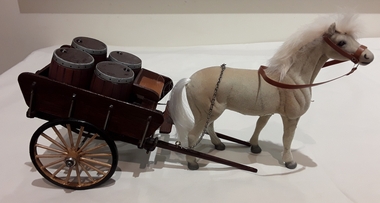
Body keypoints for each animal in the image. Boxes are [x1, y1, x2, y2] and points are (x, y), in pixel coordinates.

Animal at [169, 13, 374, 170]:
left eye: (354, 39)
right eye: (341, 42)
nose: (368, 56)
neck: (292, 78)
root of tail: (190, 80)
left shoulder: (267, 112)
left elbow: (260, 126)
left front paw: (254, 146)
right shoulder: (291, 117)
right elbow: (287, 138)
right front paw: (290, 162)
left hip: (212, 111)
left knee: (210, 127)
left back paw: (218, 144)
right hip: (206, 113)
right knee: (193, 135)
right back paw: (193, 163)